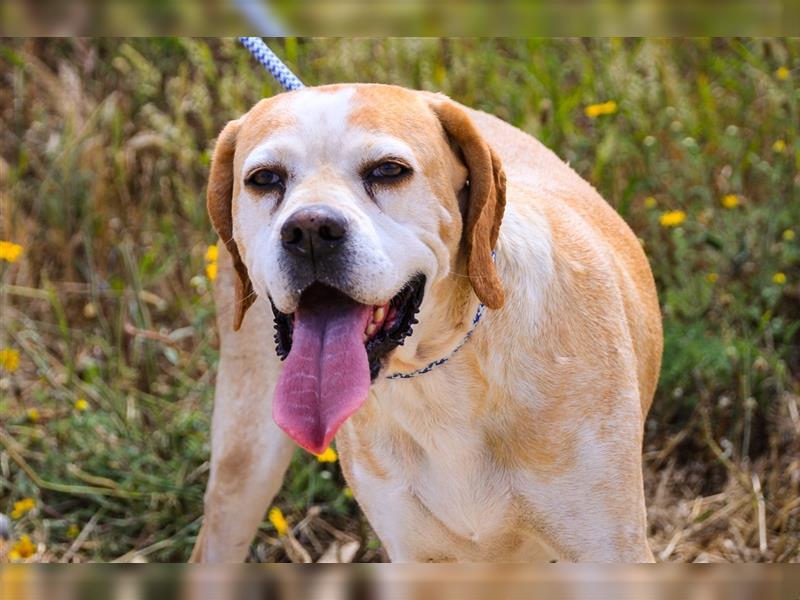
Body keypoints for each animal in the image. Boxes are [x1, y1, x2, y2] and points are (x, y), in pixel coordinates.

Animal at [189, 83, 664, 564]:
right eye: (265, 179)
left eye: (388, 170)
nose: (309, 230)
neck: (439, 376)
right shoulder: (413, 556)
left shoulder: (610, 551)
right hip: (244, 465)